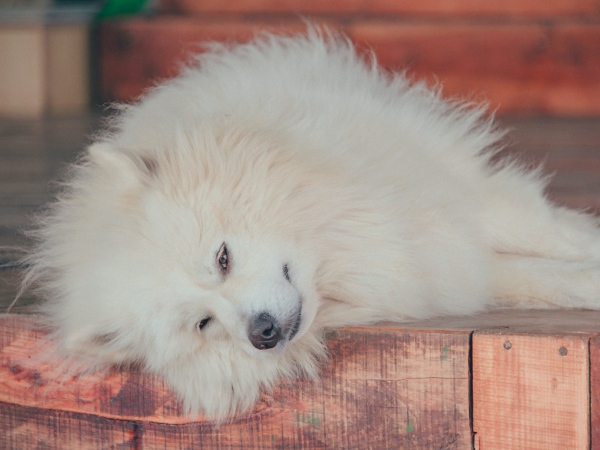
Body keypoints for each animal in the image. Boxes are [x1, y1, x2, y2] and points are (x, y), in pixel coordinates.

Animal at [21, 29, 600, 420]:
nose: (262, 334)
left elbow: (551, 234)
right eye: (203, 323)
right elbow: (537, 278)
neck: (339, 248)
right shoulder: (444, 268)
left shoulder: (459, 196)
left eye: (222, 257)